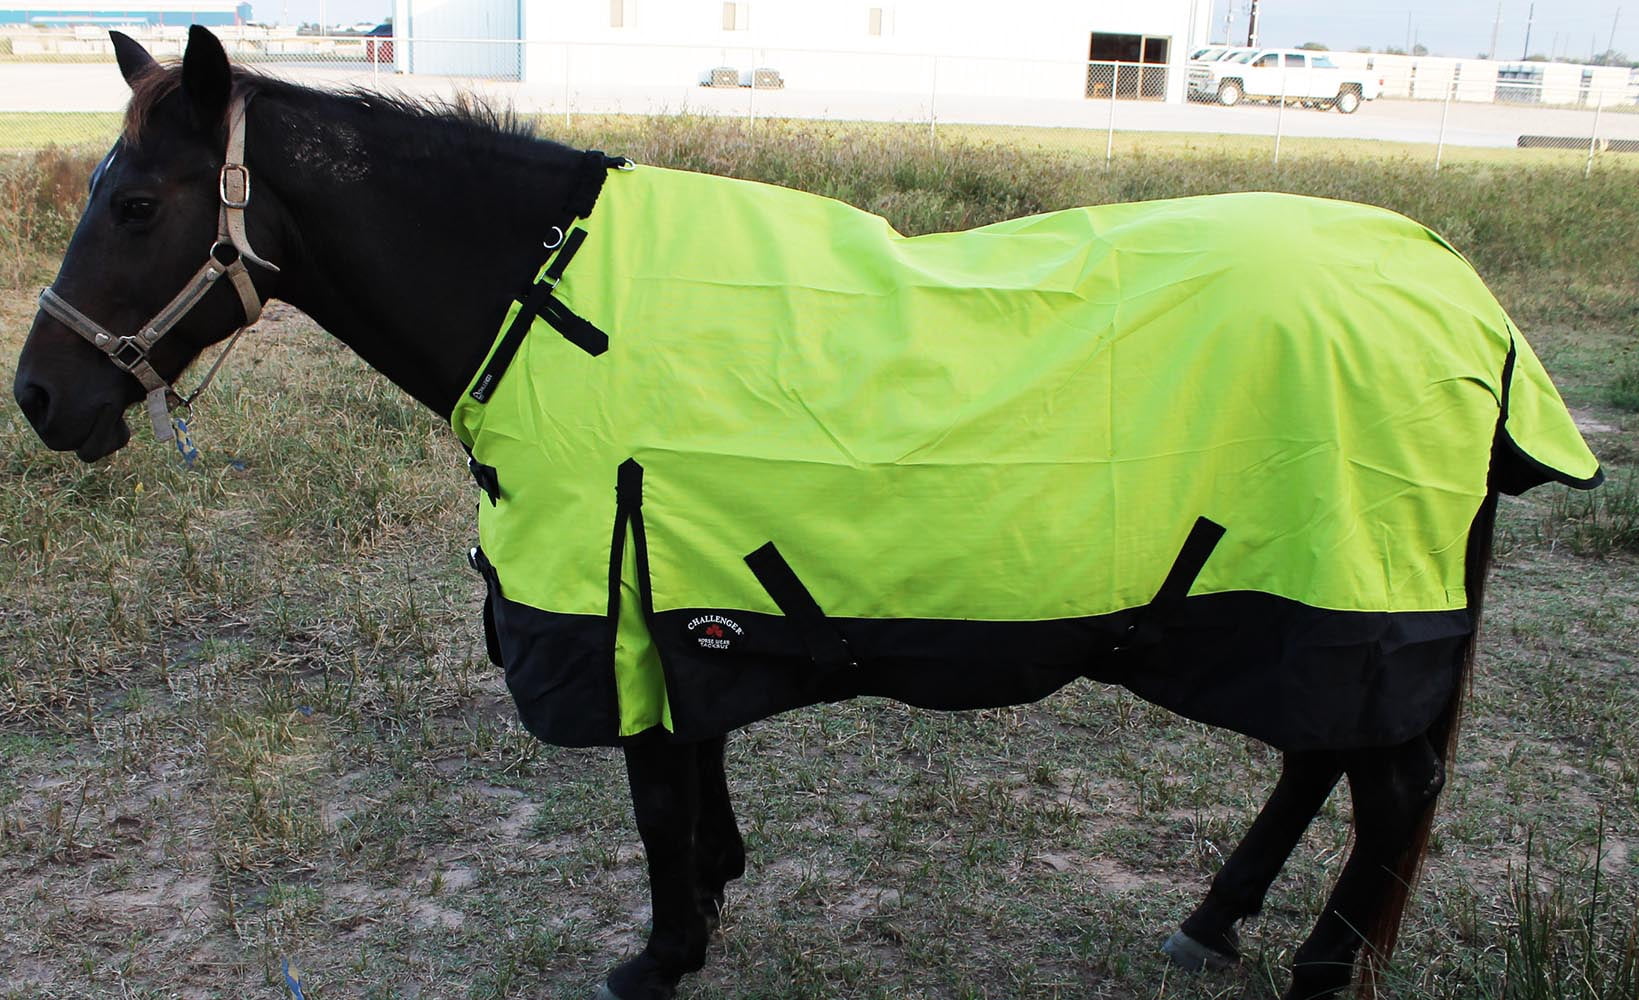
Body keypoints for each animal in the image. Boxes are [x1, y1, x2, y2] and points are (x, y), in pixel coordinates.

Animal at [12, 27, 1603, 1000]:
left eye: (140, 204)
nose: (39, 398)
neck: (546, 299)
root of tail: (1460, 295)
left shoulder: (614, 592)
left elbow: (656, 793)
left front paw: (660, 953)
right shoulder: (676, 596)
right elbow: (694, 769)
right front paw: (713, 898)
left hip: (1344, 590)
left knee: (1387, 783)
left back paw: (1322, 966)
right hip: (1327, 594)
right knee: (1330, 760)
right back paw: (1218, 919)